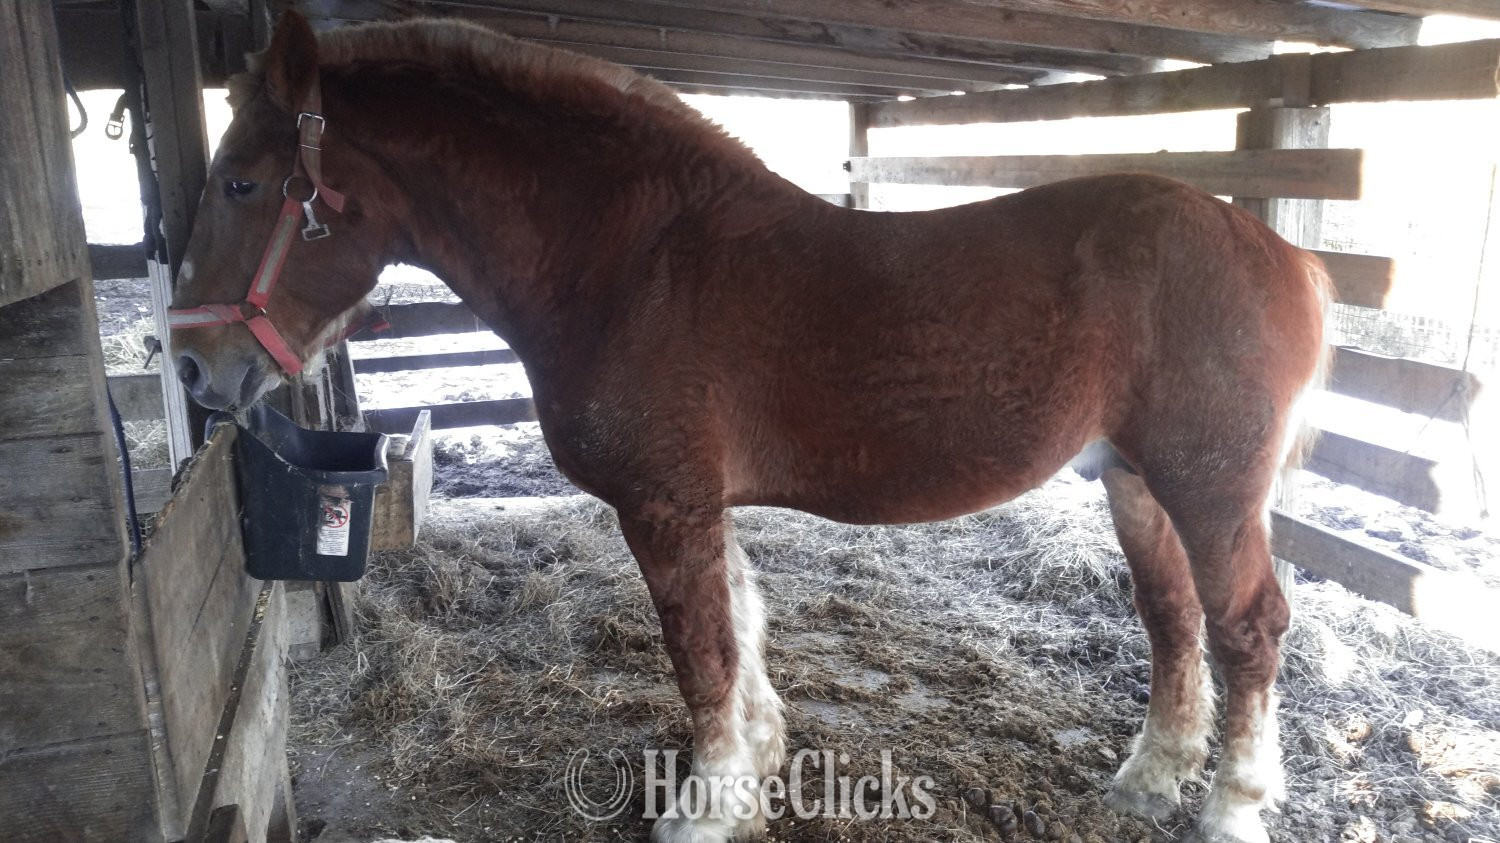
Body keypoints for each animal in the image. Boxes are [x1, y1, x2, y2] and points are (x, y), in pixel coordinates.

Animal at [168, 12, 1330, 843]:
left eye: (241, 181)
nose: (189, 363)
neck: (633, 260)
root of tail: (1285, 255)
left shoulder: (665, 502)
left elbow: (701, 652)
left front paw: (707, 806)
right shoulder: (699, 500)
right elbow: (738, 629)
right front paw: (758, 767)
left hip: (1210, 489)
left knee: (1249, 628)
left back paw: (1231, 807)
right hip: (1137, 482)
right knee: (1174, 621)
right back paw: (1150, 779)